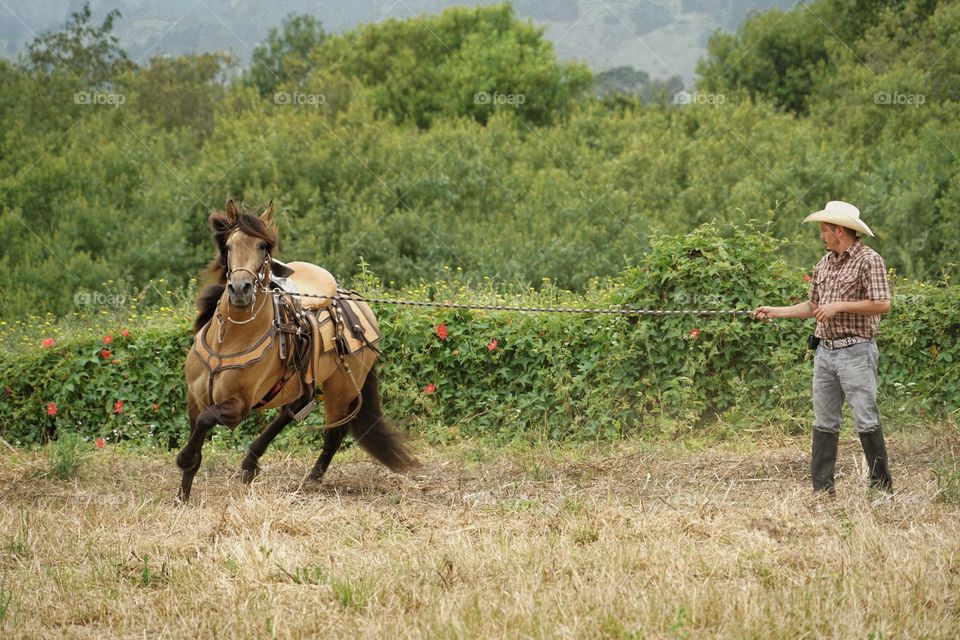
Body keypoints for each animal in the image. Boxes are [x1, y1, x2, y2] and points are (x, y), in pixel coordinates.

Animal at [176, 199, 416, 500]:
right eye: (228, 245)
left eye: (263, 247)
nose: (241, 289)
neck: (229, 340)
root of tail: (359, 303)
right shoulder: (195, 397)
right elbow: (198, 428)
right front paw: (183, 492)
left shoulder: (238, 405)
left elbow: (206, 420)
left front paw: (184, 461)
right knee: (294, 408)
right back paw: (251, 463)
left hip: (341, 387)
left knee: (336, 430)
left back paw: (311, 478)